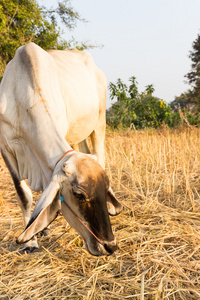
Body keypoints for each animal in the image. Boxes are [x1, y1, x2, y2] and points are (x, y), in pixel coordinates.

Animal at [0, 42, 122, 255]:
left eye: (105, 188)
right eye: (79, 195)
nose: (110, 245)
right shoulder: (5, 148)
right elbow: (24, 195)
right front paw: (31, 241)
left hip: (99, 123)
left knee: (100, 155)